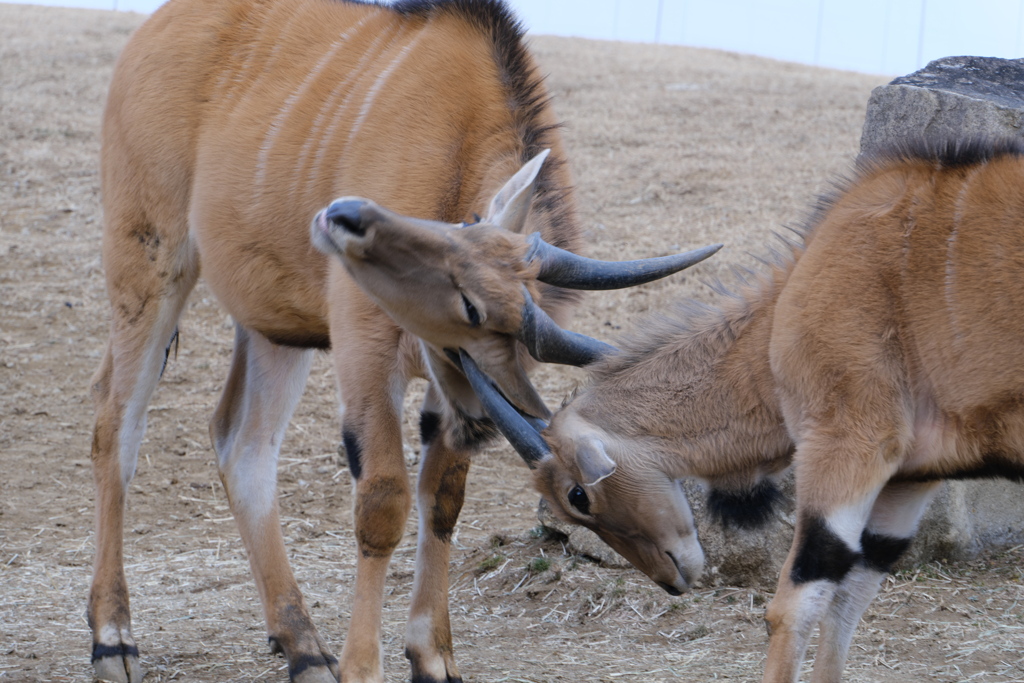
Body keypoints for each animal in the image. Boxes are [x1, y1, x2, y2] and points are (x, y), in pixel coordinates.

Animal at [86, 1, 720, 683]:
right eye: (577, 496)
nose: (681, 568)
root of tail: (154, 29)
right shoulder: (367, 351)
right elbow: (383, 502)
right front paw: (366, 665)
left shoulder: (448, 379)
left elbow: (442, 498)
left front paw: (432, 655)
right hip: (150, 265)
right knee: (116, 425)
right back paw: (114, 637)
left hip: (272, 326)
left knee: (242, 444)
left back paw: (303, 645)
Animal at [333, 136, 1024, 679]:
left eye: (577, 496)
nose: (673, 578)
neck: (781, 317)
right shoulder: (909, 480)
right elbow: (846, 608)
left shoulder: (847, 448)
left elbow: (792, 609)